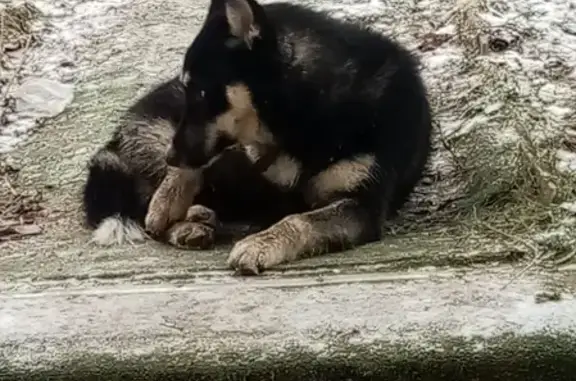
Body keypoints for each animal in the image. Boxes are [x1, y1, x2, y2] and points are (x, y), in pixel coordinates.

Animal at [161, 0, 432, 274]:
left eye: (199, 93)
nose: (169, 157)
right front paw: (171, 195)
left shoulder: (360, 206)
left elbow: (300, 220)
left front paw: (261, 244)